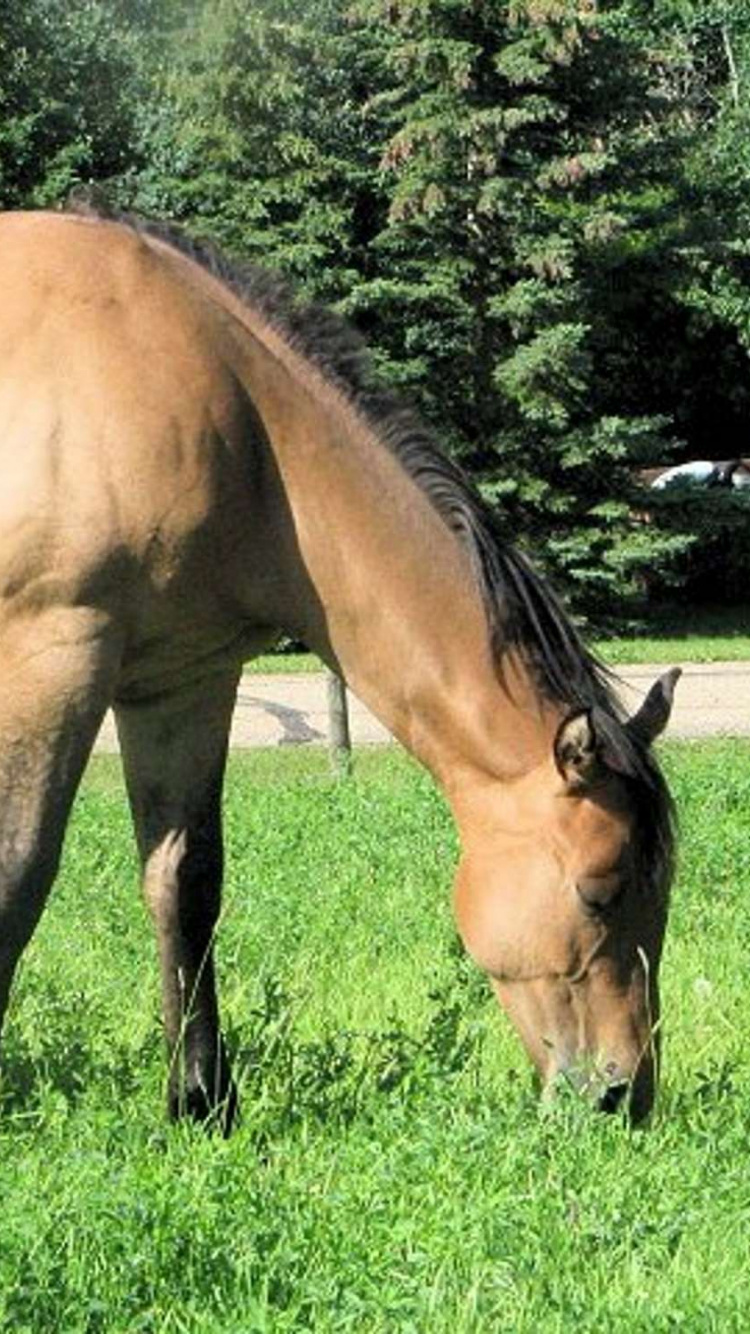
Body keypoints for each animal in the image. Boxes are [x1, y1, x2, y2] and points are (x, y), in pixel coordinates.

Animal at [0, 204, 678, 1130]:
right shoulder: (56, 652)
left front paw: (202, 1104)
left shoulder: (182, 680)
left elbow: (185, 883)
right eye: (599, 891)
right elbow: (21, 871)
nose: (621, 1094)